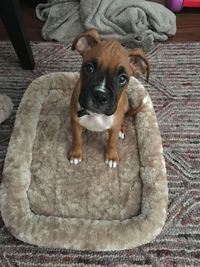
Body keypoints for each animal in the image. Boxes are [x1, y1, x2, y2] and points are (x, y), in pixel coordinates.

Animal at [68, 29, 149, 170]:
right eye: (89, 68)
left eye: (122, 78)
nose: (100, 95)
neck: (95, 115)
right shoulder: (75, 122)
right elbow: (77, 138)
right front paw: (76, 154)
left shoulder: (113, 127)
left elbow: (112, 141)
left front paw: (111, 157)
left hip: (125, 105)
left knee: (123, 118)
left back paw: (122, 129)